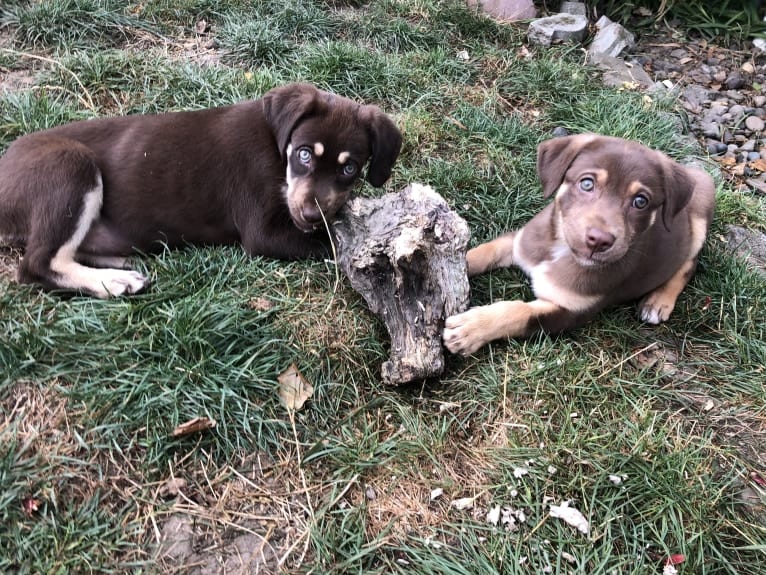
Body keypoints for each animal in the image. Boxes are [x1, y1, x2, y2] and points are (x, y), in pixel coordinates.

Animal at [0, 83, 404, 300]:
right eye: (304, 154)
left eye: (349, 168)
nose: (309, 215)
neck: (278, 147)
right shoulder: (263, 233)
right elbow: (331, 243)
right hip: (71, 166)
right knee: (37, 264)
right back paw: (114, 280)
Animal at [444, 134, 720, 356]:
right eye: (587, 183)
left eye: (641, 201)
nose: (599, 240)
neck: (559, 249)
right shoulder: (517, 242)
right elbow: (479, 254)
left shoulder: (569, 312)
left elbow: (518, 312)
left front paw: (471, 328)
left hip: (699, 217)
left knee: (689, 263)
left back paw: (658, 301)